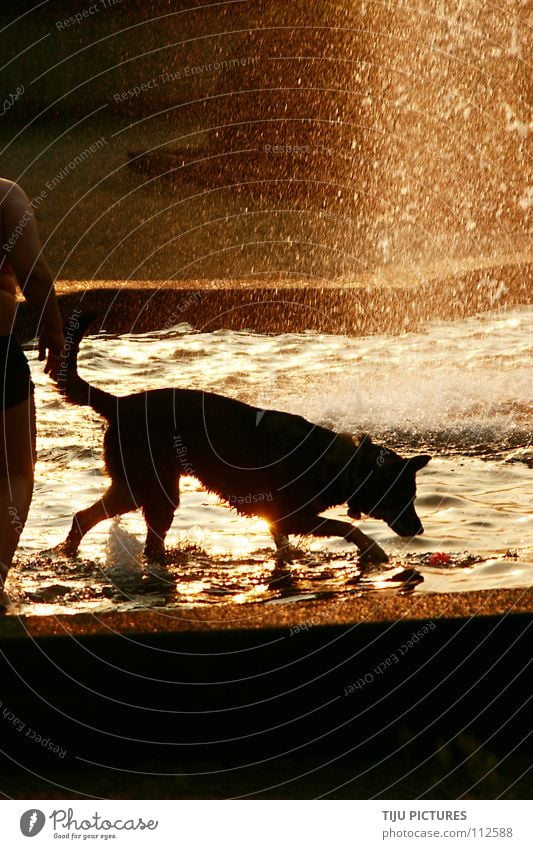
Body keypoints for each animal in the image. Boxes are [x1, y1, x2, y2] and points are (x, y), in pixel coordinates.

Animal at [55, 314, 428, 564]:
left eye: (413, 496)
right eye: (403, 496)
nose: (419, 530)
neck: (343, 466)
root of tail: (118, 404)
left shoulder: (279, 520)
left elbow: (285, 545)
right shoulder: (294, 516)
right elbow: (346, 527)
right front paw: (373, 549)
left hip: (138, 487)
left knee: (88, 519)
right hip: (151, 488)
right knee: (118, 528)